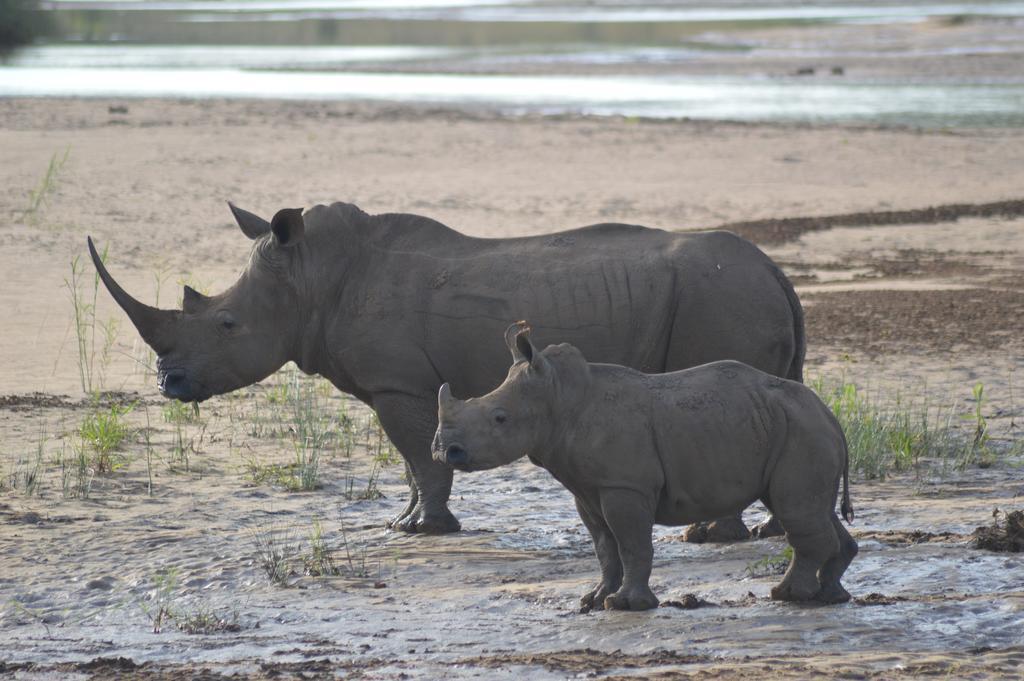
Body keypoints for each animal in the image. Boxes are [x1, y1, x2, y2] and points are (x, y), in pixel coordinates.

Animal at [88, 199, 802, 532]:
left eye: (228, 325)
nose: (169, 383)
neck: (311, 276)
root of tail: (774, 269)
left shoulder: (397, 383)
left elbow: (419, 456)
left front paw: (419, 530)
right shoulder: (398, 384)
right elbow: (412, 461)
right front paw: (403, 523)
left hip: (721, 296)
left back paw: (709, 537)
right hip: (738, 292)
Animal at [432, 323, 856, 610]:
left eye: (499, 418)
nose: (444, 451)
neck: (560, 398)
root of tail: (830, 415)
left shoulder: (625, 485)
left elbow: (631, 544)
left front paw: (625, 604)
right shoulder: (589, 488)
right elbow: (605, 547)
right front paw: (593, 599)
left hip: (803, 432)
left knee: (796, 509)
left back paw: (790, 596)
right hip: (793, 428)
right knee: (807, 508)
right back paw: (830, 596)